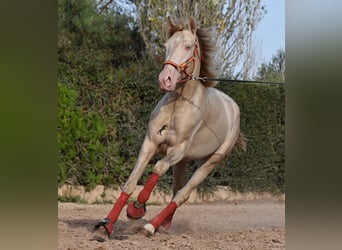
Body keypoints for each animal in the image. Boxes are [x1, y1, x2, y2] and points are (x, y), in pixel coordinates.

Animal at [95, 16, 247, 239]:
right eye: (166, 46)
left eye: (188, 46)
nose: (165, 80)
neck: (178, 105)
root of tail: (233, 108)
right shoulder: (150, 143)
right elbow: (130, 182)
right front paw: (107, 224)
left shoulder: (177, 150)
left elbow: (158, 167)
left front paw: (137, 208)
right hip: (183, 163)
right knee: (176, 190)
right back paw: (163, 226)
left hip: (208, 162)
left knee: (182, 195)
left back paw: (150, 226)